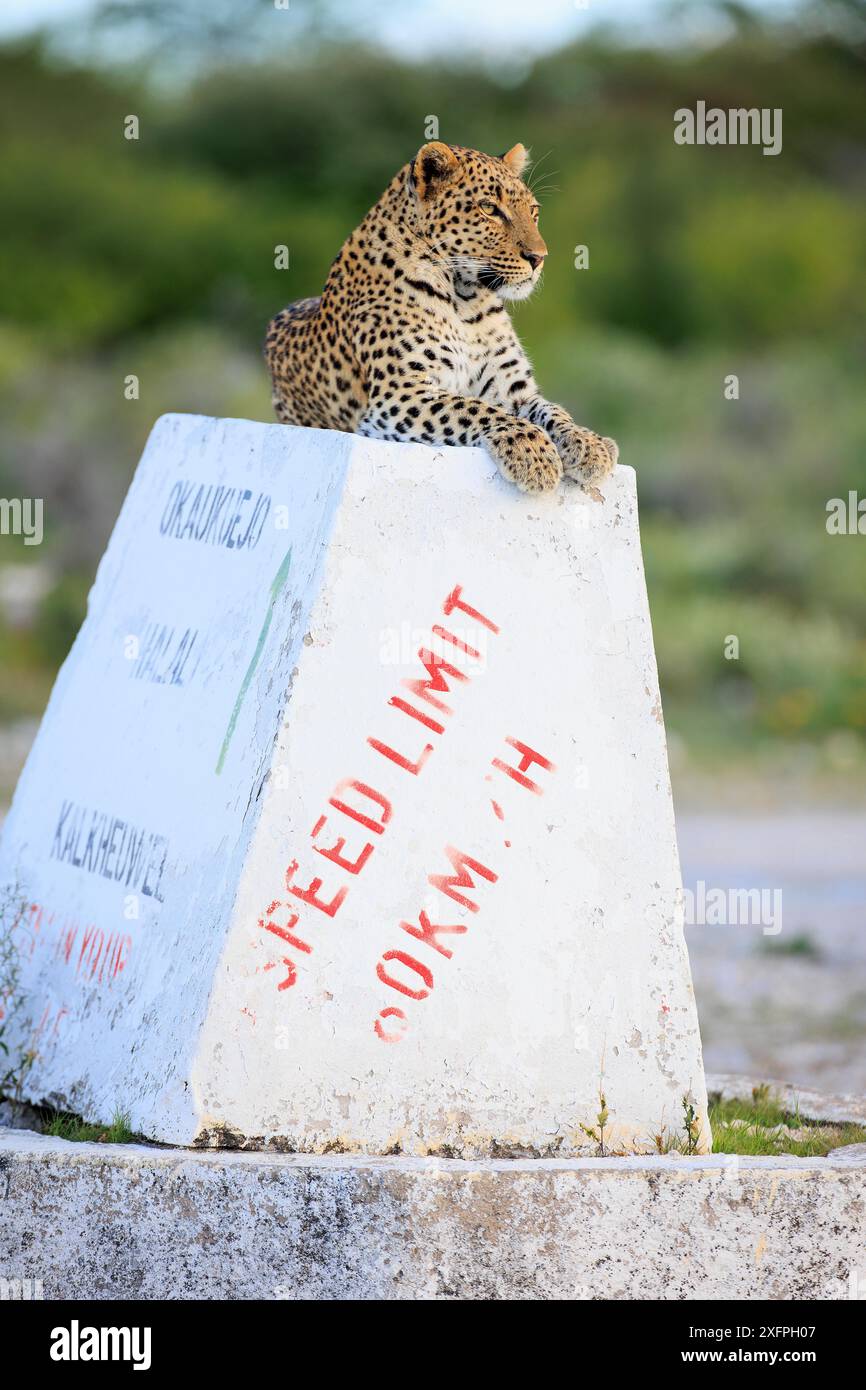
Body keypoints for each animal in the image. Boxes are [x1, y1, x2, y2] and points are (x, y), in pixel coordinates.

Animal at [264, 141, 617, 497]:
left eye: (533, 211)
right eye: (489, 208)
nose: (539, 258)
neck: (467, 303)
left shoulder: (514, 389)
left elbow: (553, 410)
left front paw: (589, 444)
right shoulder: (400, 396)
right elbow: (475, 409)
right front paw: (532, 452)